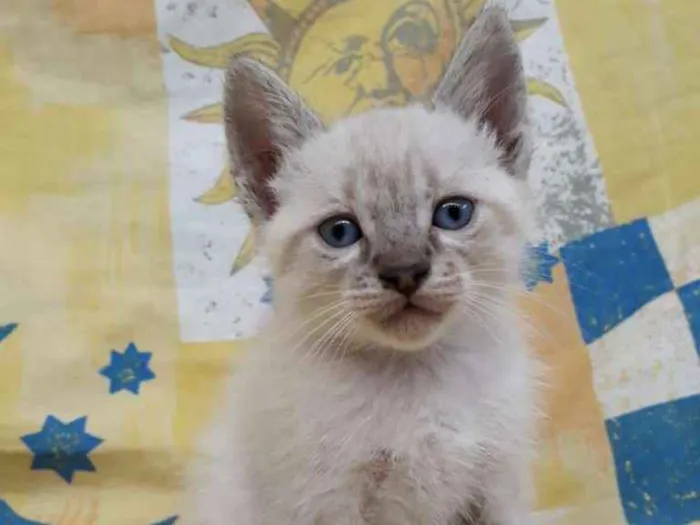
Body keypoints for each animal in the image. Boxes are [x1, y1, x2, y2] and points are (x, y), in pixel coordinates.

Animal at [187, 8, 540, 524]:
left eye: (453, 213)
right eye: (340, 232)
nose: (405, 271)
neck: (415, 379)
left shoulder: (496, 489)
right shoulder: (324, 501)